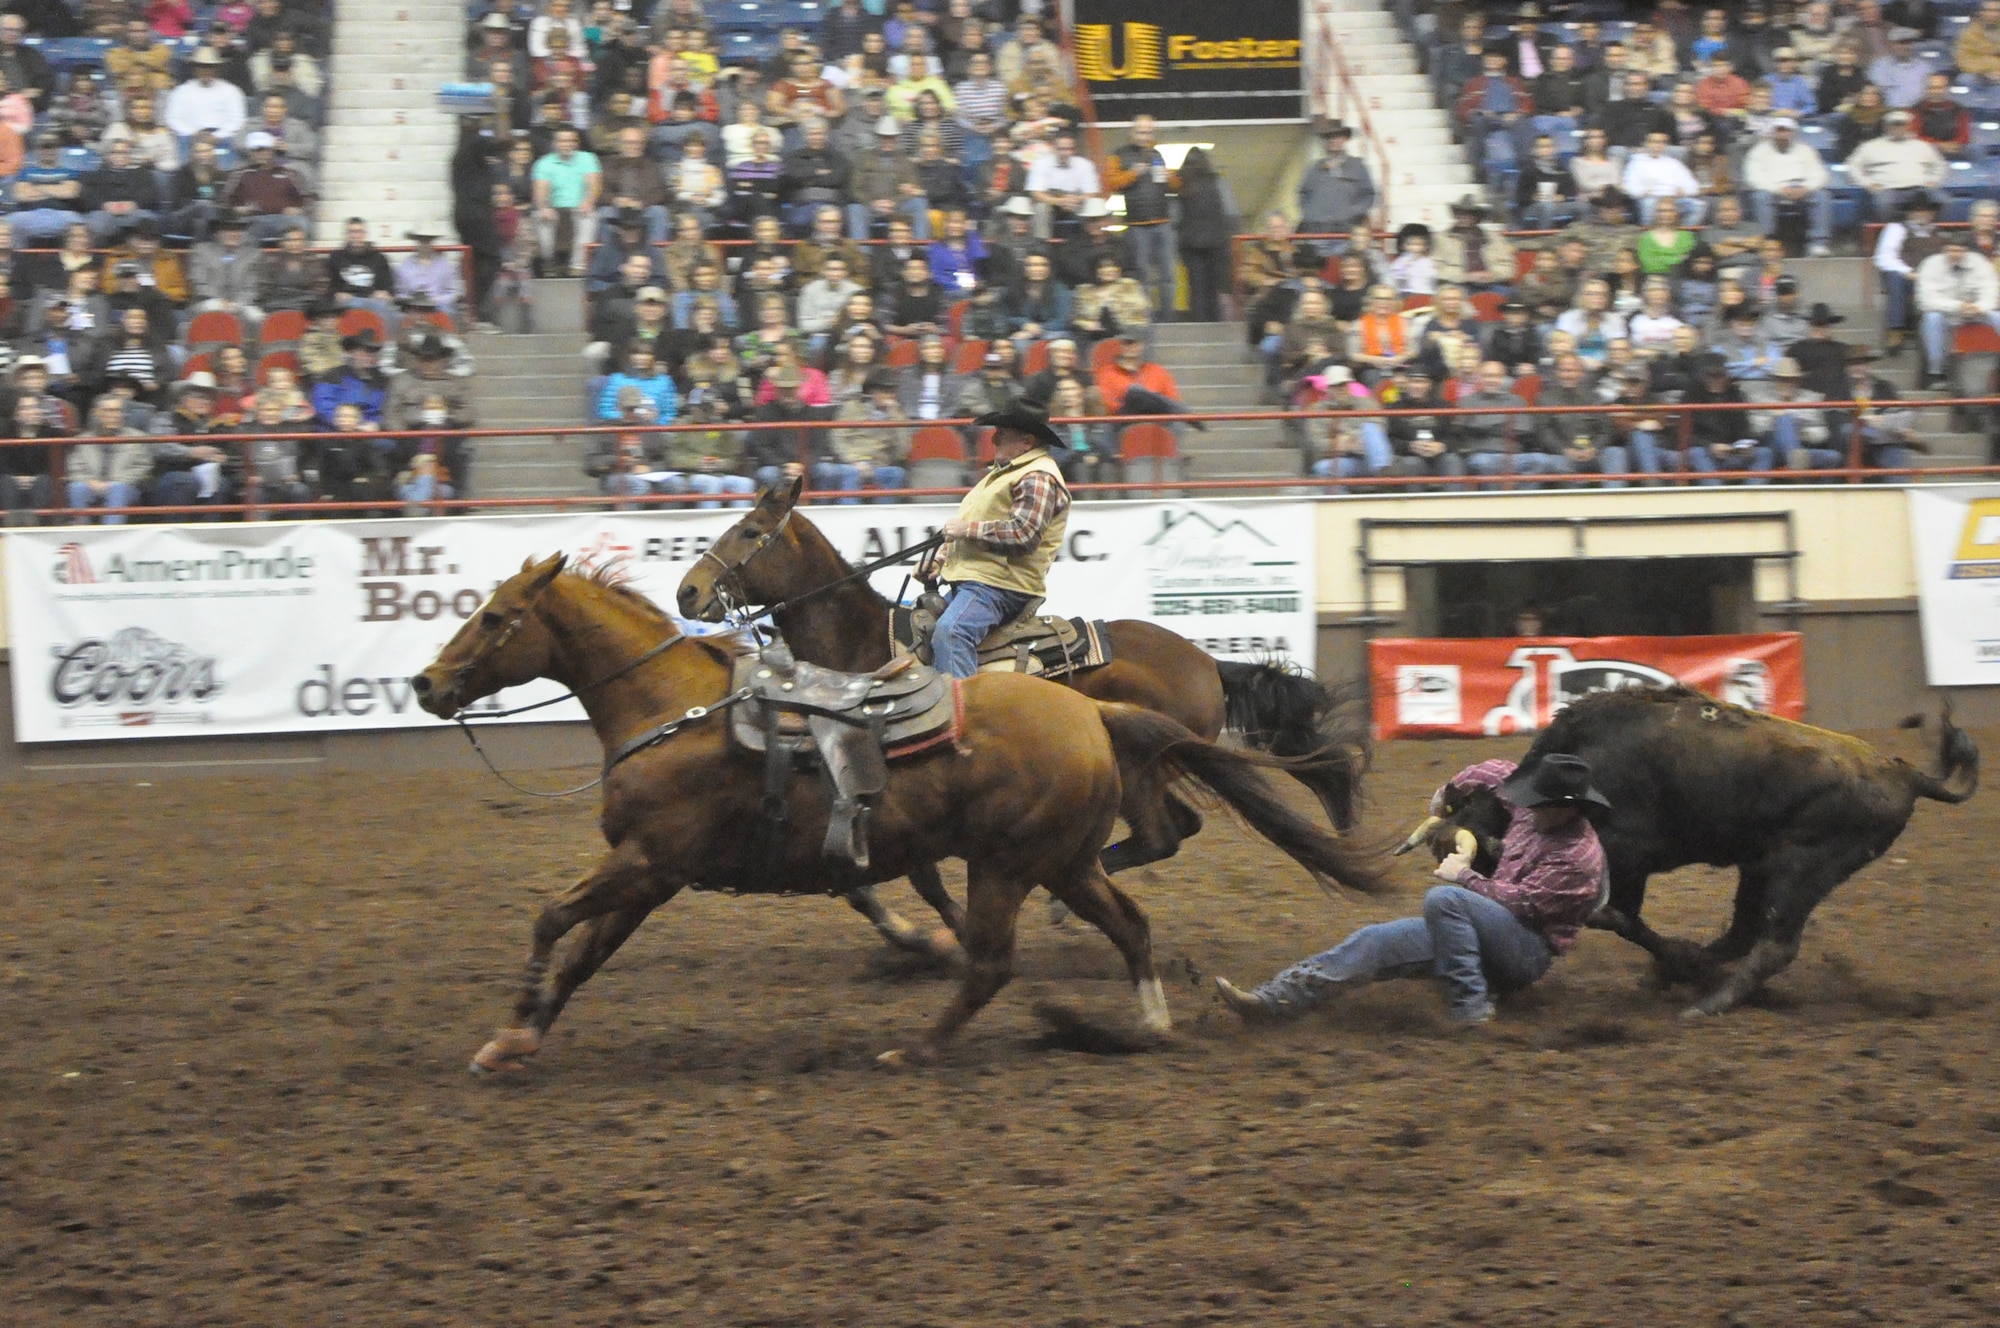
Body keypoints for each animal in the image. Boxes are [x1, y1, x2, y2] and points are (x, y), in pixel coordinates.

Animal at [418, 556, 1392, 1072]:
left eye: (498, 617)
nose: (428, 683)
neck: (673, 708)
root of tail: (1094, 714)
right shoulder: (652, 874)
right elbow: (585, 954)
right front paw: (518, 1038)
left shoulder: (647, 862)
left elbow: (552, 922)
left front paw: (512, 1022)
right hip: (1063, 858)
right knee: (1130, 919)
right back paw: (1147, 1023)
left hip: (1008, 862)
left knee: (999, 959)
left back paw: (919, 1049)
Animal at [680, 482, 1368, 948]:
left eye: (749, 531)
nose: (687, 592)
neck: (862, 645)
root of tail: (1205, 662)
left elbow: (916, 877)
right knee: (1174, 832)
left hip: (1137, 770)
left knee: (1163, 835)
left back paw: (1063, 897)